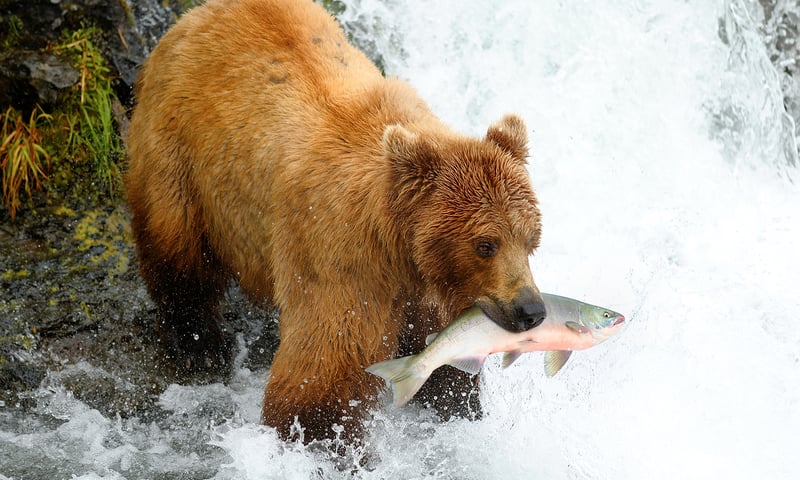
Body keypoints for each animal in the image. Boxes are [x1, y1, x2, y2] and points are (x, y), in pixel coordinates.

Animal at [125, 0, 546, 443]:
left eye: (531, 240)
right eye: (486, 244)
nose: (531, 310)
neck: (401, 245)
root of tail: (195, 16)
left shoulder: (425, 288)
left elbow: (439, 356)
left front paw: (459, 403)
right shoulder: (341, 256)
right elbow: (325, 369)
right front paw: (320, 435)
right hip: (180, 152)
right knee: (176, 247)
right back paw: (198, 344)